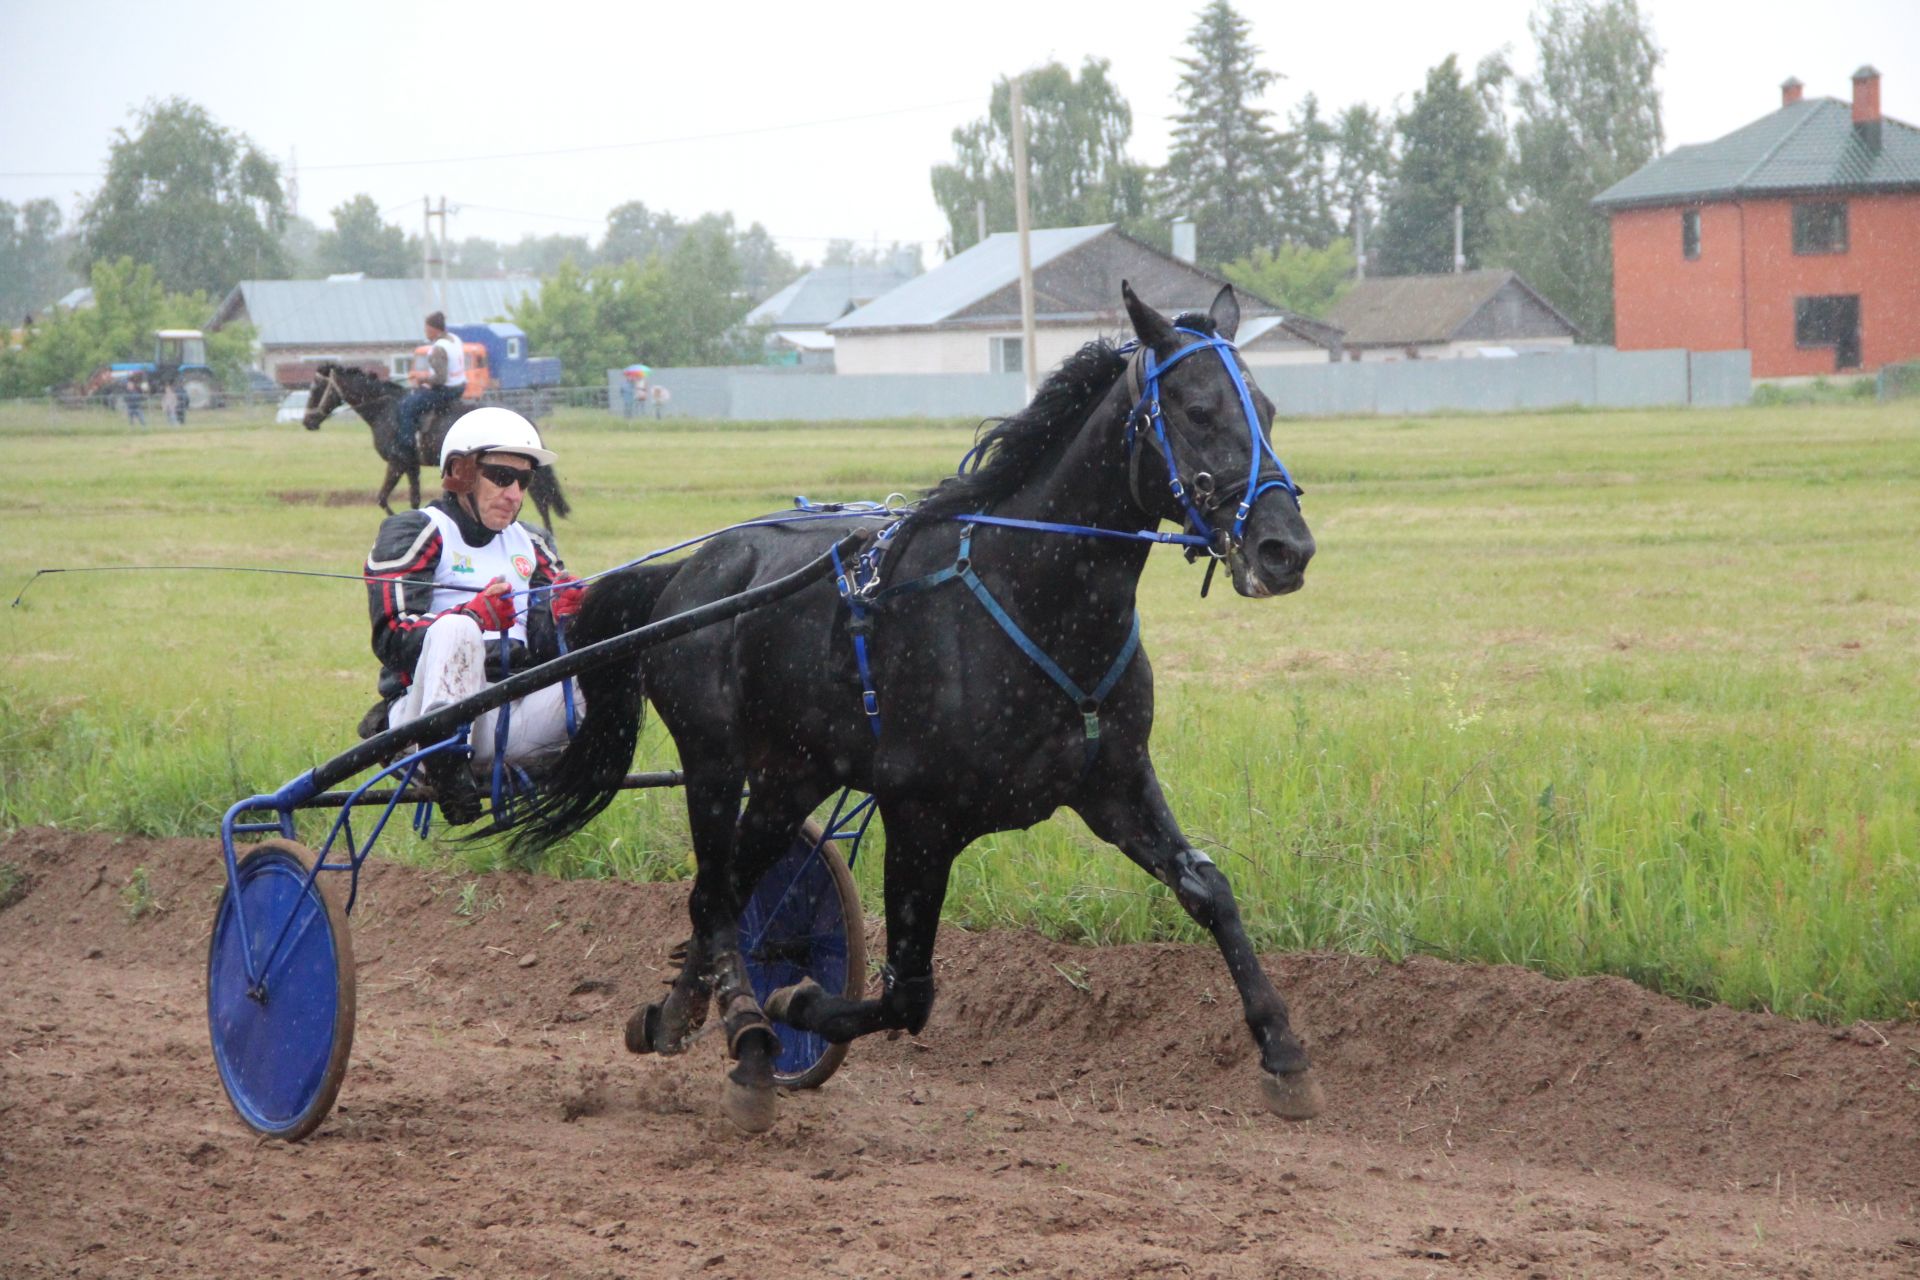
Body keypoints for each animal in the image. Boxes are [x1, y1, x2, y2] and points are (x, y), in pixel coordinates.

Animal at [297, 360, 568, 525]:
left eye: (316, 387)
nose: (307, 420)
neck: (385, 408)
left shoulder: (398, 462)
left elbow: (382, 498)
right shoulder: (411, 465)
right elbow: (413, 499)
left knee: (540, 498)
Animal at [510, 285, 1320, 1136]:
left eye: (1267, 408)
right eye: (1198, 410)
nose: (1285, 550)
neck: (1034, 596)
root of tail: (688, 575)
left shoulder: (1115, 783)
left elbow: (1210, 891)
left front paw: (1283, 1049)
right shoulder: (920, 814)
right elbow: (909, 992)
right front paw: (796, 999)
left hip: (788, 776)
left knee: (725, 890)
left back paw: (677, 1016)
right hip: (714, 761)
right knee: (715, 895)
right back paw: (752, 1039)